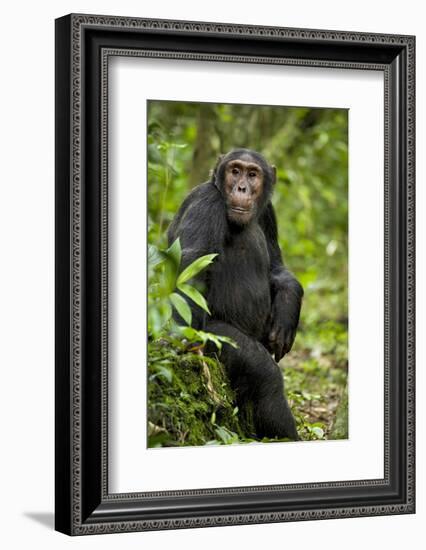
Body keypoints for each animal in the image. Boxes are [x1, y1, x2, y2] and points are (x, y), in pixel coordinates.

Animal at [167, 149, 302, 442]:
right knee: (267, 379)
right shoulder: (207, 202)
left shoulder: (269, 212)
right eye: (235, 171)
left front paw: (287, 313)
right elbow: (192, 266)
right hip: (214, 335)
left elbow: (276, 265)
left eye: (252, 174)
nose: (241, 187)